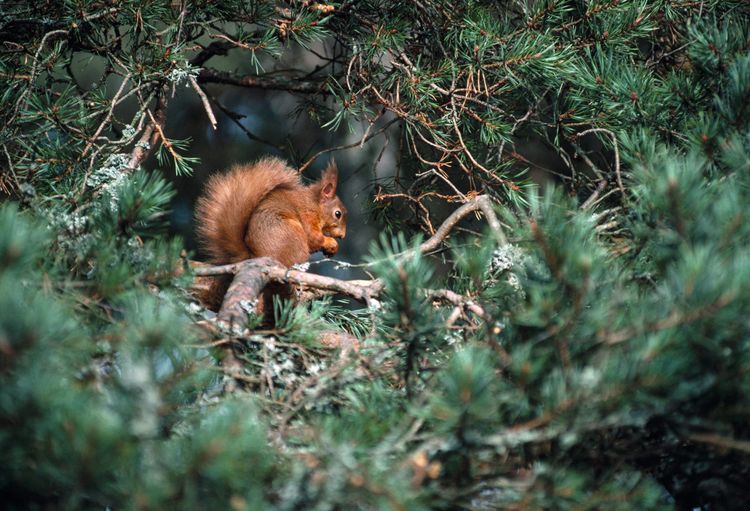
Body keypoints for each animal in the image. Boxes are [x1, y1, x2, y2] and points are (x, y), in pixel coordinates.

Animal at [195, 157, 347, 310]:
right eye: (337, 214)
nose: (342, 236)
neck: (314, 204)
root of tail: (253, 257)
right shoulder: (307, 216)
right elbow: (314, 238)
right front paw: (331, 243)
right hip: (295, 238)